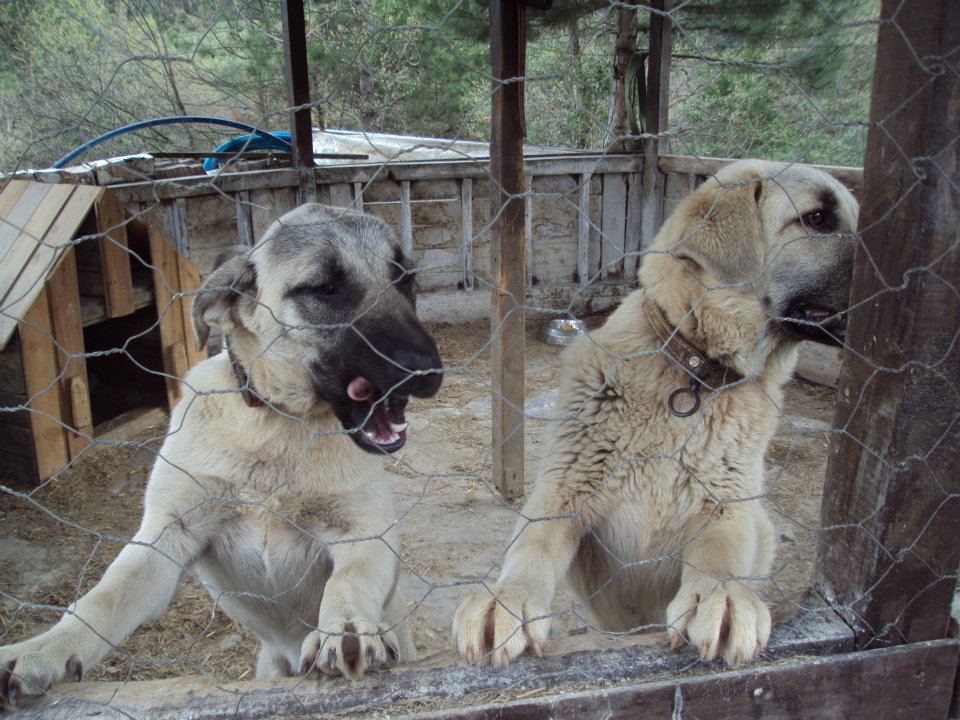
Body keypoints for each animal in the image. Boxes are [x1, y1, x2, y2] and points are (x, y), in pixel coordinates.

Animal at [0, 204, 442, 708]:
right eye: (325, 288)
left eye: (405, 279)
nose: (429, 370)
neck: (277, 424)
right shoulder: (165, 537)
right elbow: (104, 598)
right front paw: (44, 648)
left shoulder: (367, 534)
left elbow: (348, 580)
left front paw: (346, 627)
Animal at [454, 160, 860, 668]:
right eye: (818, 219)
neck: (693, 373)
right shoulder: (563, 493)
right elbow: (531, 550)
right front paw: (507, 600)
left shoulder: (728, 506)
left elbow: (719, 554)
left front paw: (722, 595)